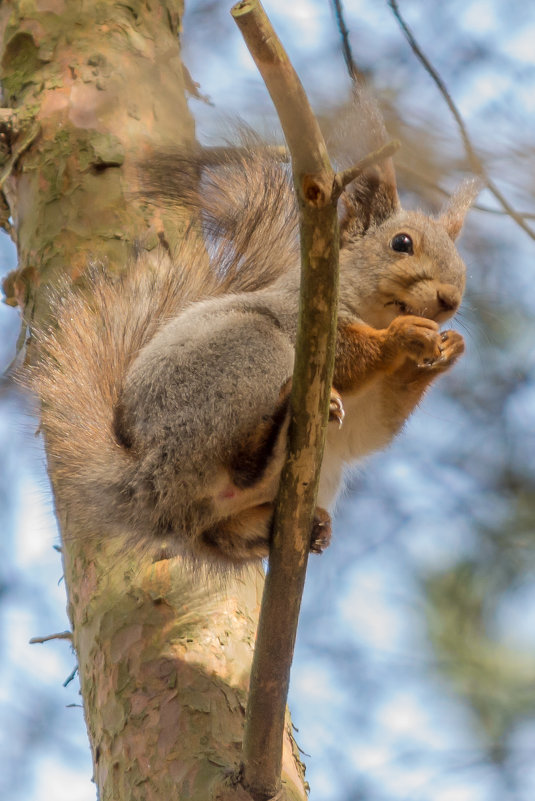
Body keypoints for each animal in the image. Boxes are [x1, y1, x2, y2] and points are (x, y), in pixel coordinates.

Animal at [31, 115, 480, 564]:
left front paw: (447, 351)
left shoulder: (364, 416)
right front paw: (401, 337)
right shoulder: (301, 316)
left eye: (462, 264)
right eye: (401, 243)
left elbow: (373, 427)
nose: (450, 300)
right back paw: (274, 428)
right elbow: (343, 356)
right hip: (244, 357)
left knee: (226, 528)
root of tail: (145, 481)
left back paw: (308, 526)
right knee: (236, 460)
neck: (370, 311)